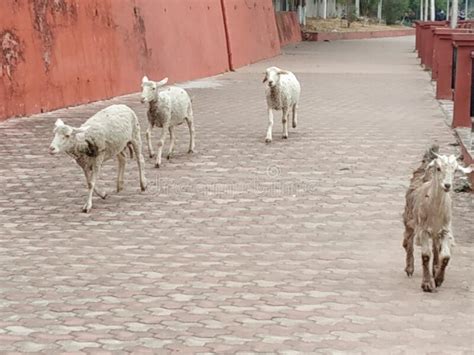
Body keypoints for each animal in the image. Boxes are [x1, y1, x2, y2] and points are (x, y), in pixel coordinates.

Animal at [402, 149, 472, 294]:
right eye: (438, 168)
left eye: (455, 170)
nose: (447, 185)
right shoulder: (423, 230)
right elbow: (425, 255)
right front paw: (427, 284)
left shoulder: (445, 230)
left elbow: (445, 256)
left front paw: (439, 279)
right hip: (410, 219)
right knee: (407, 241)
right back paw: (410, 268)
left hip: (435, 232)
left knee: (435, 247)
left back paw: (435, 269)